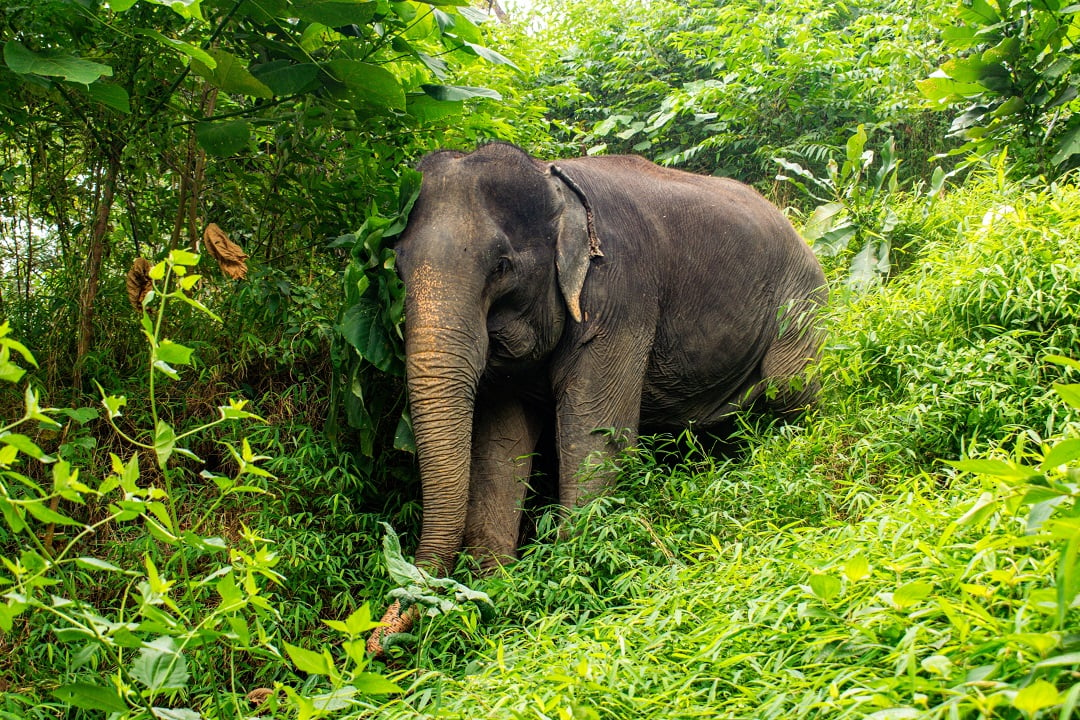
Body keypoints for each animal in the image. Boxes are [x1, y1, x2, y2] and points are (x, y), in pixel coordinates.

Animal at [367, 140, 820, 651]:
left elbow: (594, 434)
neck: (551, 181)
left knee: (790, 388)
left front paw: (567, 584)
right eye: (398, 268)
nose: (375, 644)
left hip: (803, 305)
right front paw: (494, 591)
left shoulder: (619, 292)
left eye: (501, 266)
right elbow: (500, 449)